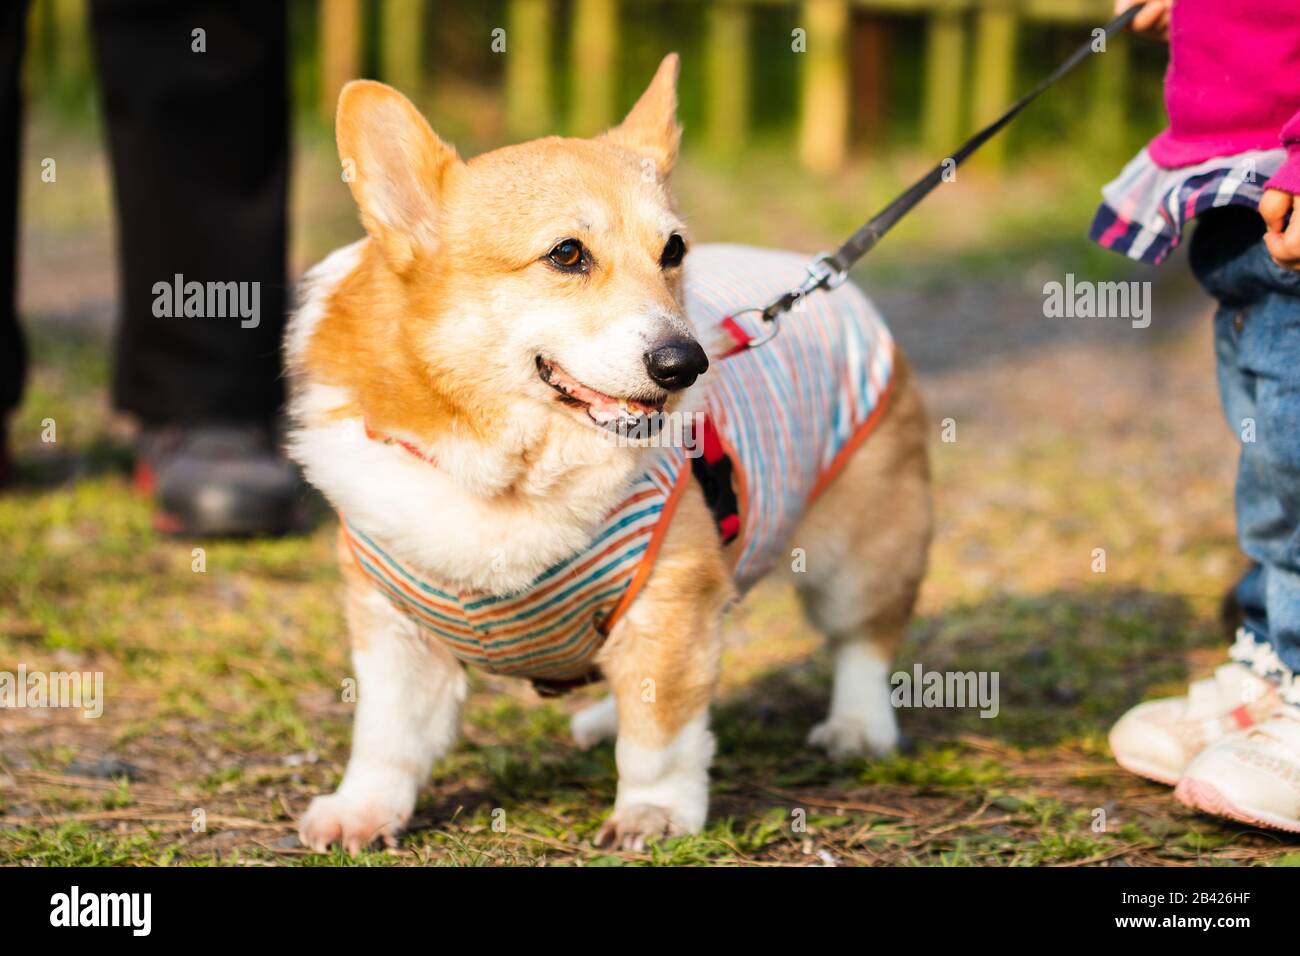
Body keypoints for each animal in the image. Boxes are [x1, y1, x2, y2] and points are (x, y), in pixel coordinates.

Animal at [288, 55, 930, 853]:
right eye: (567, 253)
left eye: (673, 251)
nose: (687, 364)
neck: (507, 471)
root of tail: (814, 273)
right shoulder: (393, 631)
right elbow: (386, 738)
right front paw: (361, 811)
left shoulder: (670, 600)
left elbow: (660, 735)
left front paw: (652, 815)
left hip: (862, 547)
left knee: (863, 642)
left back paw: (858, 728)